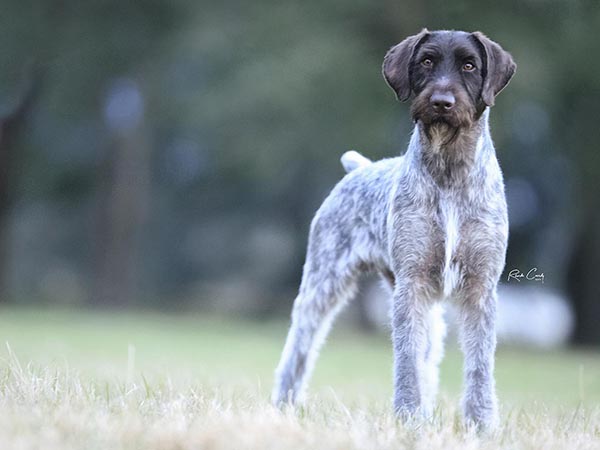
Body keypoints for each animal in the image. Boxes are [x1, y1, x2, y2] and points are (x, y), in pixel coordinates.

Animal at [272, 28, 516, 428]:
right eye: (427, 61)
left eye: (469, 65)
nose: (442, 101)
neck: (449, 171)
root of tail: (359, 168)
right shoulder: (411, 287)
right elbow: (406, 362)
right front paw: (408, 419)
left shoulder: (480, 288)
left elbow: (480, 366)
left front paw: (480, 426)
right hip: (322, 285)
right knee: (299, 348)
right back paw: (282, 407)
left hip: (428, 310)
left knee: (429, 356)